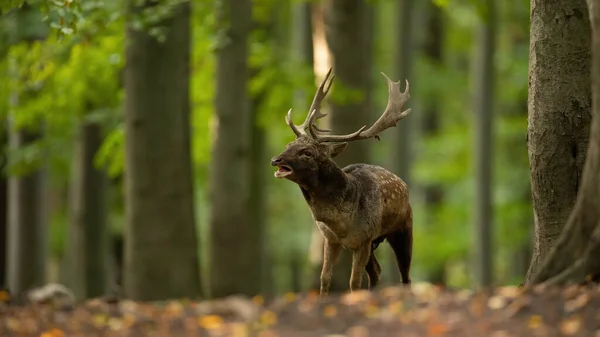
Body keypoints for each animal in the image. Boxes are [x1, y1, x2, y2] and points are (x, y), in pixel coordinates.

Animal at [270, 67, 412, 294]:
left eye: (307, 152)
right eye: (288, 144)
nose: (276, 159)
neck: (341, 222)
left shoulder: (364, 238)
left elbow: (354, 282)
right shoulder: (331, 239)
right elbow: (325, 278)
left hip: (403, 227)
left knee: (405, 275)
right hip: (375, 243)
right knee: (377, 272)